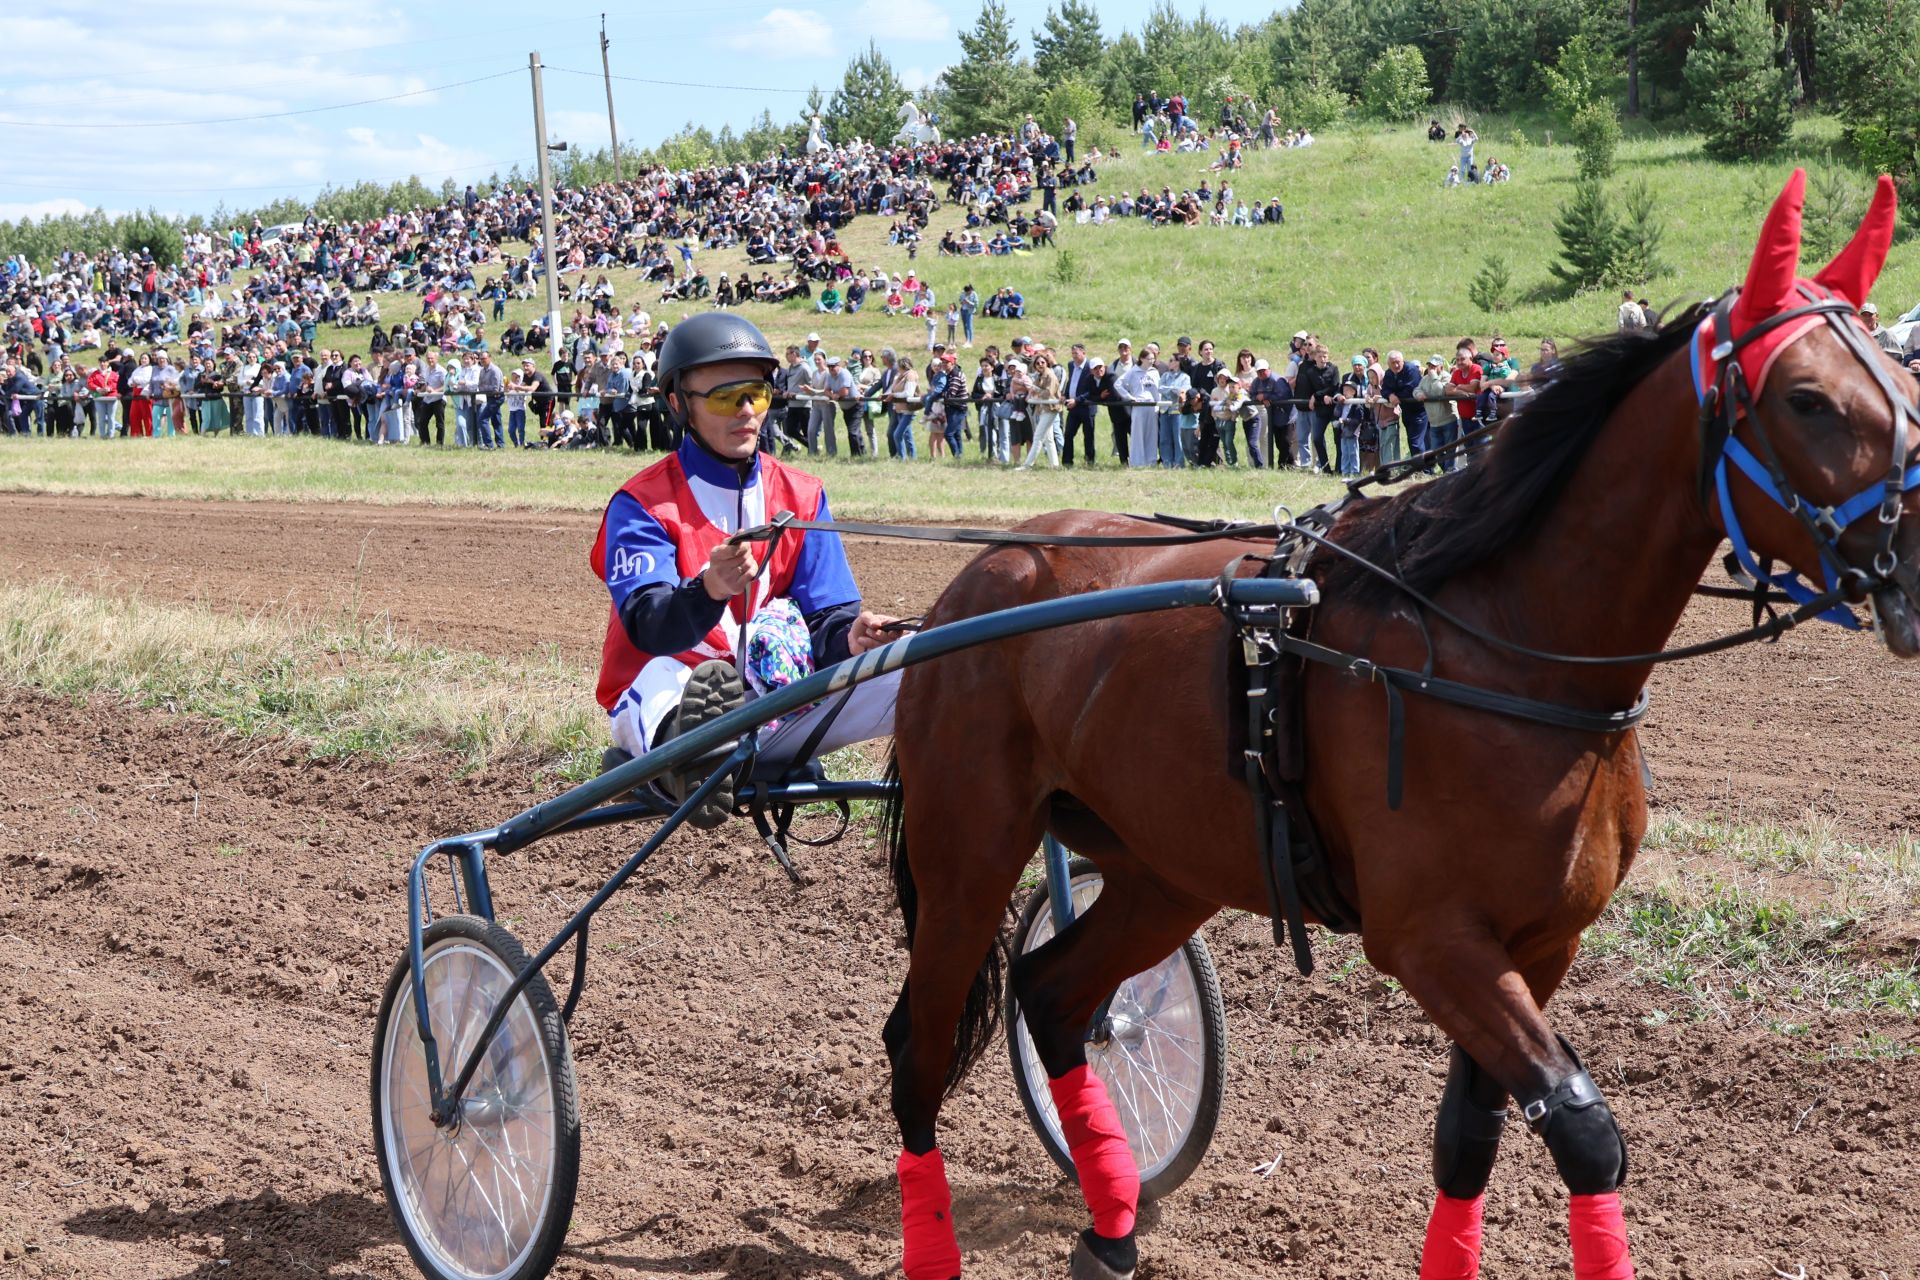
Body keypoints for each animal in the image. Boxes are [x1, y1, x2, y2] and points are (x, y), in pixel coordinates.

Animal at [879, 172, 1912, 1280]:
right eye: (1807, 398)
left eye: (1904, 375)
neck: (1504, 642)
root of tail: (978, 579)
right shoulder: (1430, 937)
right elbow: (1584, 1129)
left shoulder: (1541, 939)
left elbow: (1470, 1134)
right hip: (968, 849)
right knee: (920, 1043)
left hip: (1168, 868)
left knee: (1054, 995)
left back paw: (1110, 1224)